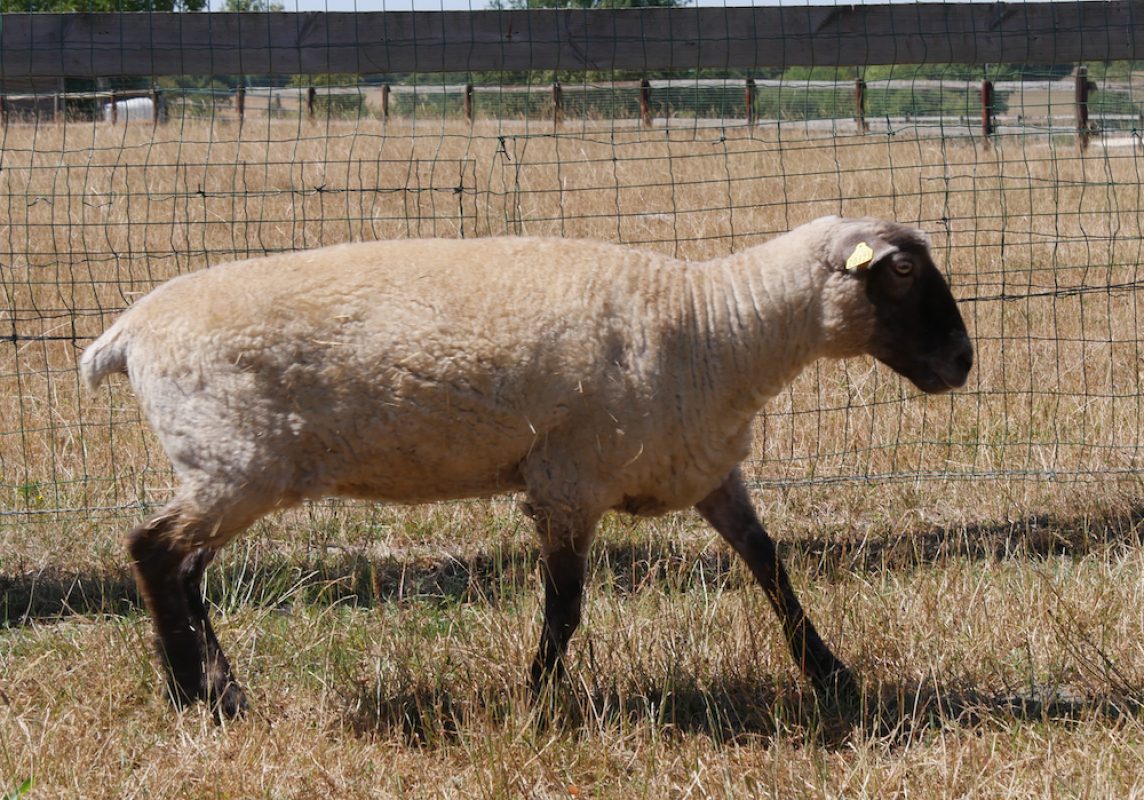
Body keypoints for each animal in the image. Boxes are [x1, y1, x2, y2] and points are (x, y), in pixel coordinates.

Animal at [80, 215, 973, 719]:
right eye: (901, 272)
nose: (962, 362)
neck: (719, 326)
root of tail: (127, 333)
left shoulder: (706, 471)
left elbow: (774, 571)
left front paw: (833, 677)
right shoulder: (568, 483)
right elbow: (566, 608)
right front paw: (536, 703)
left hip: (224, 465)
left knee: (185, 571)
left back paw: (217, 690)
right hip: (237, 459)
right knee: (156, 553)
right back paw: (200, 699)